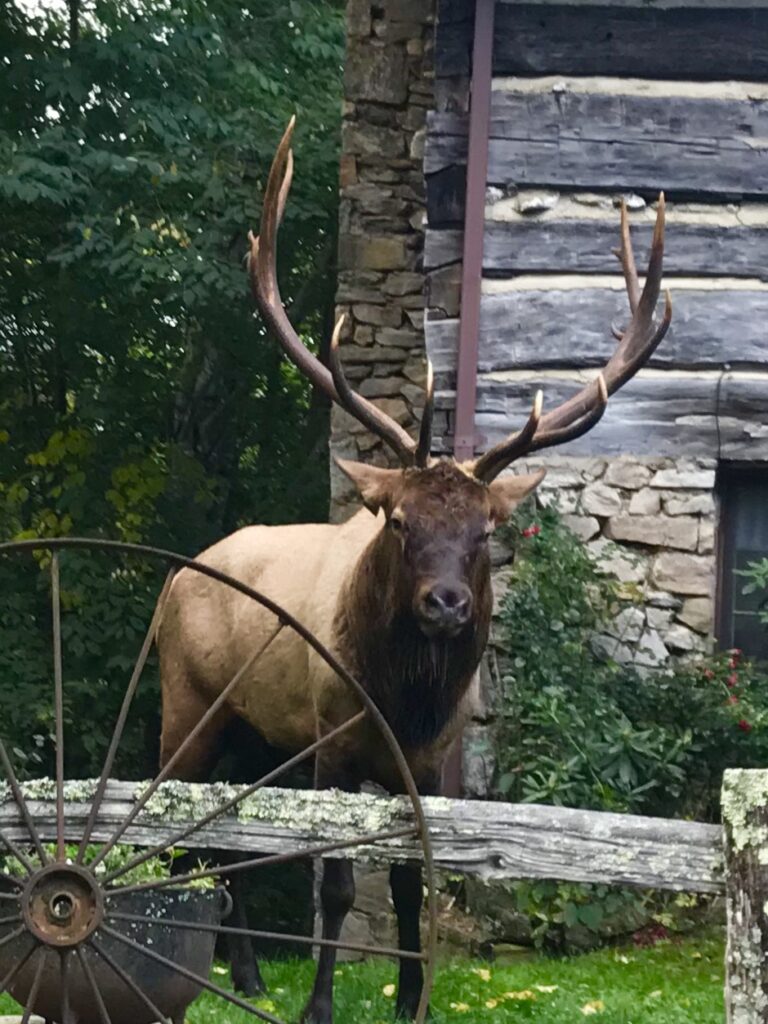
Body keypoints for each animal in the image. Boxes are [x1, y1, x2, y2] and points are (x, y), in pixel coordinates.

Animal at [157, 121, 671, 1024]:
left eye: (485, 526)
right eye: (398, 521)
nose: (446, 604)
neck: (403, 702)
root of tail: (174, 582)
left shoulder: (430, 761)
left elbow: (406, 881)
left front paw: (408, 998)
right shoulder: (331, 743)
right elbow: (334, 884)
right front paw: (320, 1005)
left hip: (254, 734)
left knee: (231, 840)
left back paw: (247, 975)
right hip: (187, 702)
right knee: (184, 832)